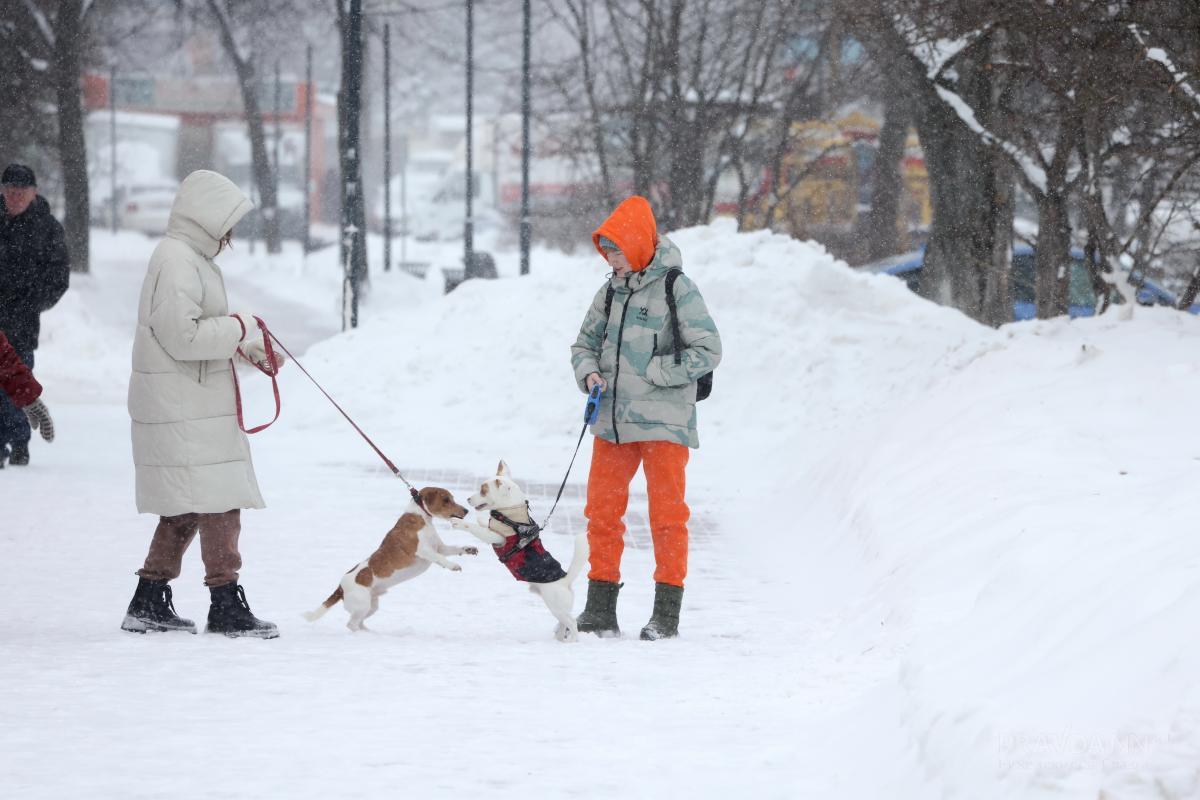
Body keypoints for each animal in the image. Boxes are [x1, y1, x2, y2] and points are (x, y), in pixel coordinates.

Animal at [451, 462, 588, 638]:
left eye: (483, 490)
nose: (468, 499)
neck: (510, 512)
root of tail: (565, 579)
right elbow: (484, 523)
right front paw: (482, 519)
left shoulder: (497, 538)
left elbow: (475, 528)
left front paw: (459, 522)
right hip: (558, 609)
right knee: (564, 624)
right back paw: (560, 640)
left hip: (556, 605)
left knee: (572, 623)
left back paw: (573, 640)